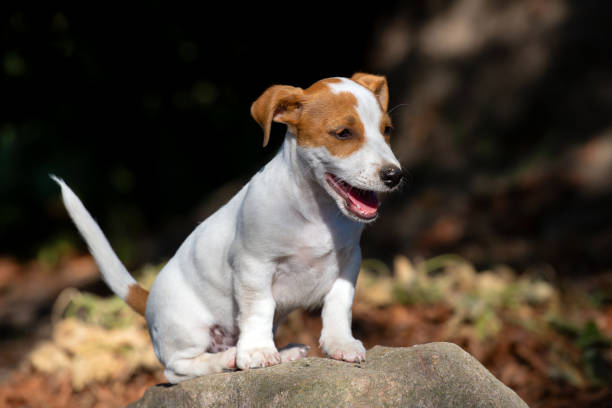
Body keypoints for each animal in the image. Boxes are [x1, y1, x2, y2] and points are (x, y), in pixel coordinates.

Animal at [52, 73, 402, 382]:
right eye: (343, 133)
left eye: (386, 130)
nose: (394, 175)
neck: (317, 211)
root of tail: (148, 299)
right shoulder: (253, 266)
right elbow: (259, 309)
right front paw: (257, 352)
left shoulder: (348, 262)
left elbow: (338, 305)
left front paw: (340, 343)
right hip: (189, 330)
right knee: (178, 369)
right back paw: (228, 358)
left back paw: (283, 351)